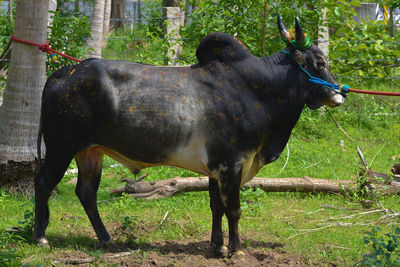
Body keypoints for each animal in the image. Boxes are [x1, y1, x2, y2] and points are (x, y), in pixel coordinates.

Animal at [34, 19, 346, 258]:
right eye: (320, 62)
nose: (339, 94)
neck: (258, 91)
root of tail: (61, 73)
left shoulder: (215, 168)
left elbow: (216, 207)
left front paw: (217, 246)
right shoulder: (232, 164)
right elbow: (233, 209)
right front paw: (236, 250)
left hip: (90, 151)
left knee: (86, 192)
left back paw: (106, 239)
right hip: (62, 147)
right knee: (44, 183)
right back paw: (41, 237)